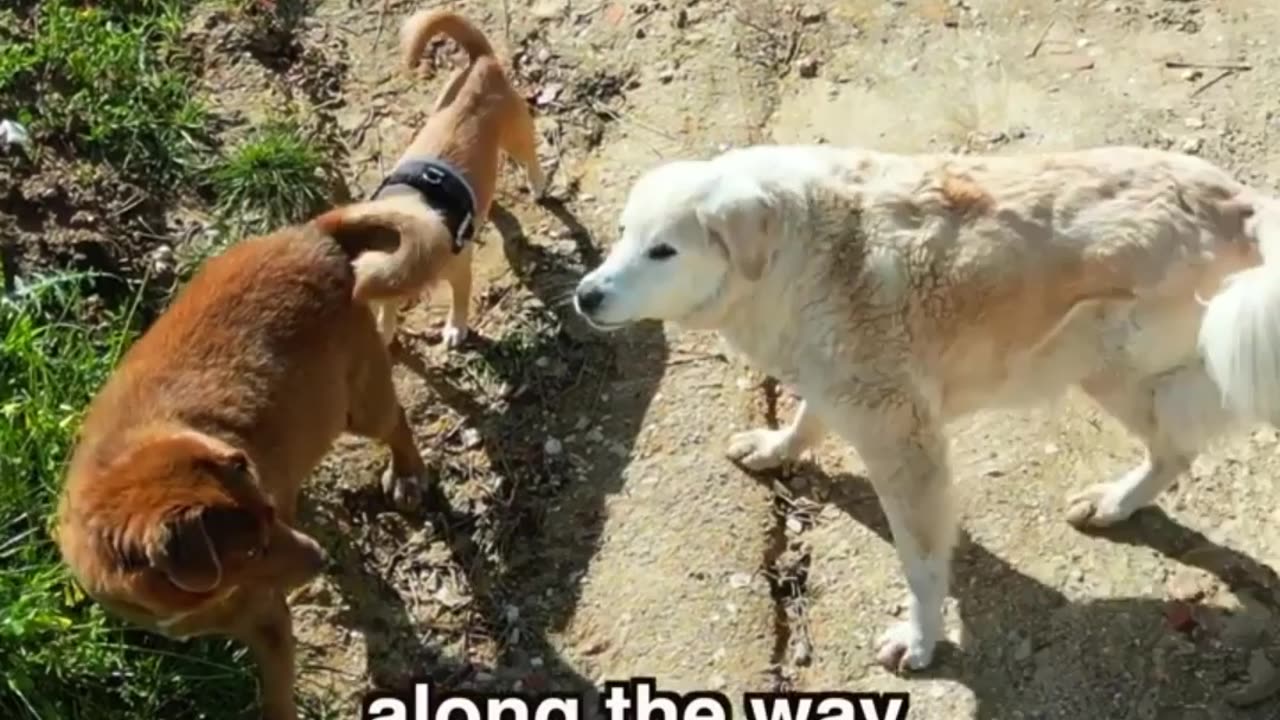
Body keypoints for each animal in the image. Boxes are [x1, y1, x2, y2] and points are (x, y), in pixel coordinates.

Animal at [56, 192, 450, 717]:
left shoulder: (270, 624)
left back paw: (407, 474)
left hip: (360, 401)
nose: (320, 560)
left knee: (397, 421)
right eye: (250, 549)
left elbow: (277, 698)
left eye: (267, 525)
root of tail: (312, 234)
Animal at [371, 9, 550, 348]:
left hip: (517, 136)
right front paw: (384, 330)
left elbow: (459, 301)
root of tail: (481, 60)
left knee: (532, 159)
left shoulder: (459, 270)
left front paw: (455, 327)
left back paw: (538, 186)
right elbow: (386, 309)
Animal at [576, 144, 1280, 671]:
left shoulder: (904, 442)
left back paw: (1115, 501)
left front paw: (920, 640)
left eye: (663, 251)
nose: (585, 296)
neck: (796, 251)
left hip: (1113, 364)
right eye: (622, 235)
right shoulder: (838, 384)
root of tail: (1239, 202)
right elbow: (807, 419)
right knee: (1176, 447)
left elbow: (919, 563)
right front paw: (776, 448)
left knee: (1176, 446)